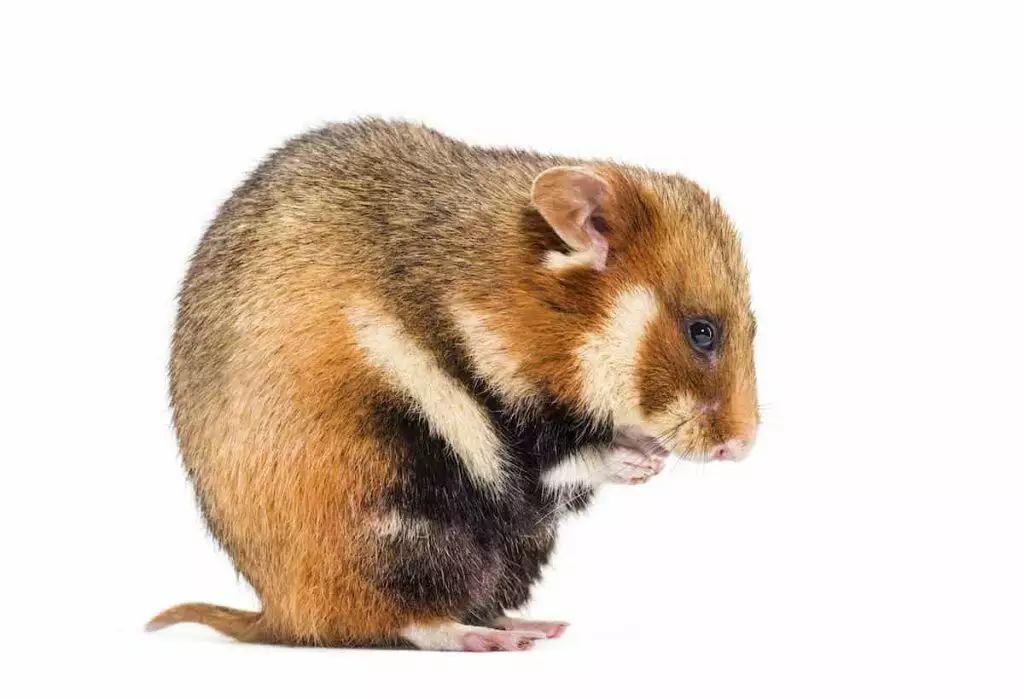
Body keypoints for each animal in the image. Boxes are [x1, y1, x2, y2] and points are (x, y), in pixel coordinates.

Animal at [147, 119, 758, 651]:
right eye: (701, 332)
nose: (743, 447)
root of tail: (276, 613)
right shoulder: (497, 426)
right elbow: (551, 462)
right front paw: (639, 459)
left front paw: (649, 449)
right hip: (398, 530)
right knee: (398, 618)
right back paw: (482, 639)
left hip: (507, 551)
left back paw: (532, 625)